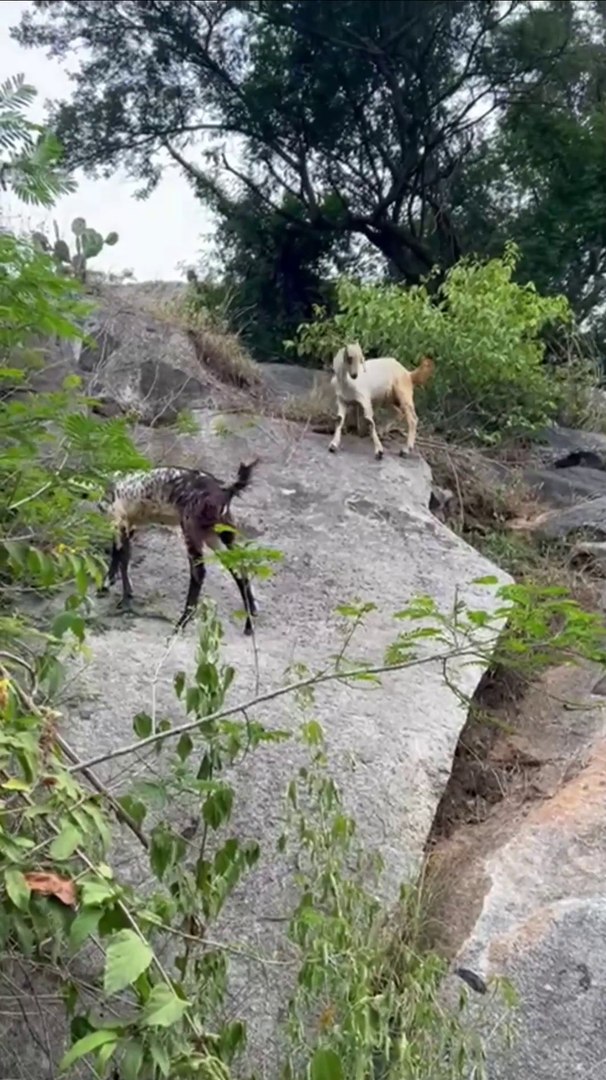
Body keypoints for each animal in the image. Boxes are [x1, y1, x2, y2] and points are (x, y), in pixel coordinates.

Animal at [97, 460, 260, 634]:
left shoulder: (120, 521)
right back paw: (250, 622)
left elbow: (122, 558)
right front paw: (108, 585)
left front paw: (122, 597)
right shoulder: (129, 524)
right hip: (218, 534)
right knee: (239, 568)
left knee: (199, 572)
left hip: (191, 527)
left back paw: (181, 623)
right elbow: (120, 554)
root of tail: (225, 491)